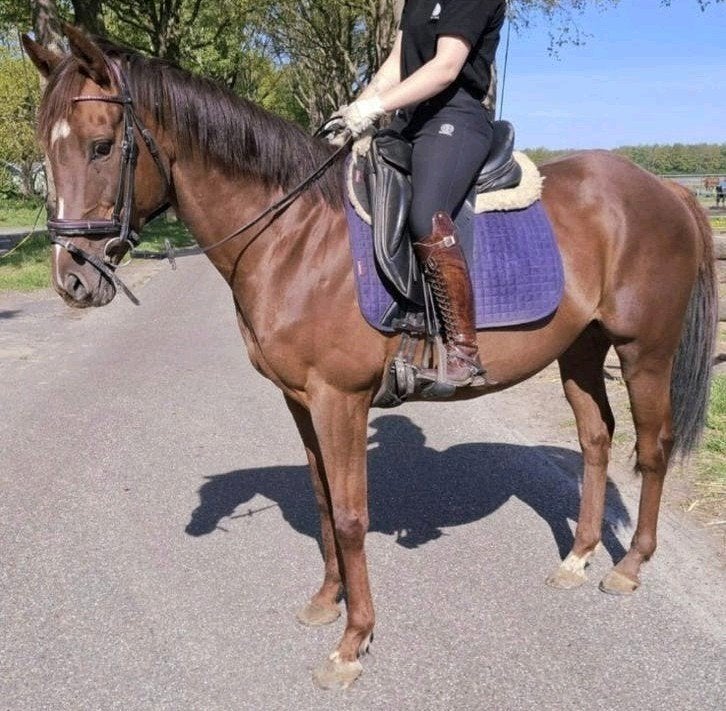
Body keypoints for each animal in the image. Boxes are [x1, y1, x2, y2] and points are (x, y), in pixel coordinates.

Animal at [23, 26, 718, 689]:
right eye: (44, 148)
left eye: (102, 147)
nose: (72, 280)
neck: (292, 235)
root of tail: (664, 189)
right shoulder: (300, 399)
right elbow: (324, 501)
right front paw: (325, 602)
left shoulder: (341, 399)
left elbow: (353, 516)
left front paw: (352, 644)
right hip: (580, 348)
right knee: (596, 439)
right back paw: (577, 556)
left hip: (645, 350)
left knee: (651, 447)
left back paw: (629, 565)